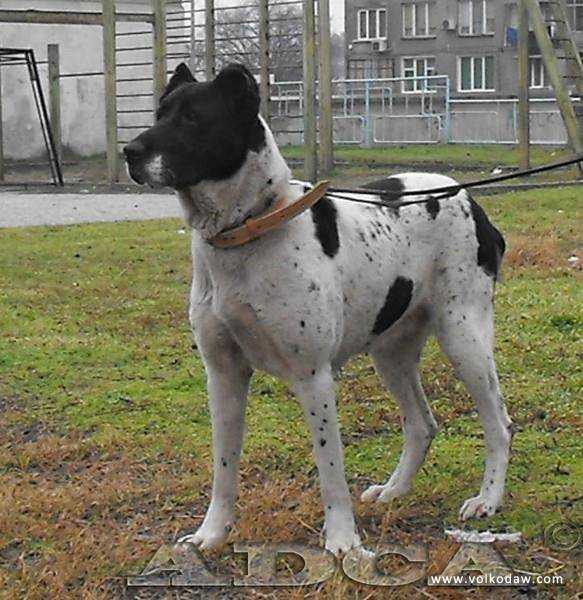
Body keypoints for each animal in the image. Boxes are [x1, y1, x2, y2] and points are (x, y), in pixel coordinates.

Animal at [123, 63, 512, 556]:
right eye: (160, 113)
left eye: (193, 118)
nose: (130, 152)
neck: (248, 229)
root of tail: (471, 201)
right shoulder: (223, 375)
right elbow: (224, 467)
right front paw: (213, 533)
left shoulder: (313, 376)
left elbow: (331, 470)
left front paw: (343, 542)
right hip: (392, 353)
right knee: (422, 424)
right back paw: (395, 490)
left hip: (464, 337)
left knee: (498, 423)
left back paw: (487, 500)